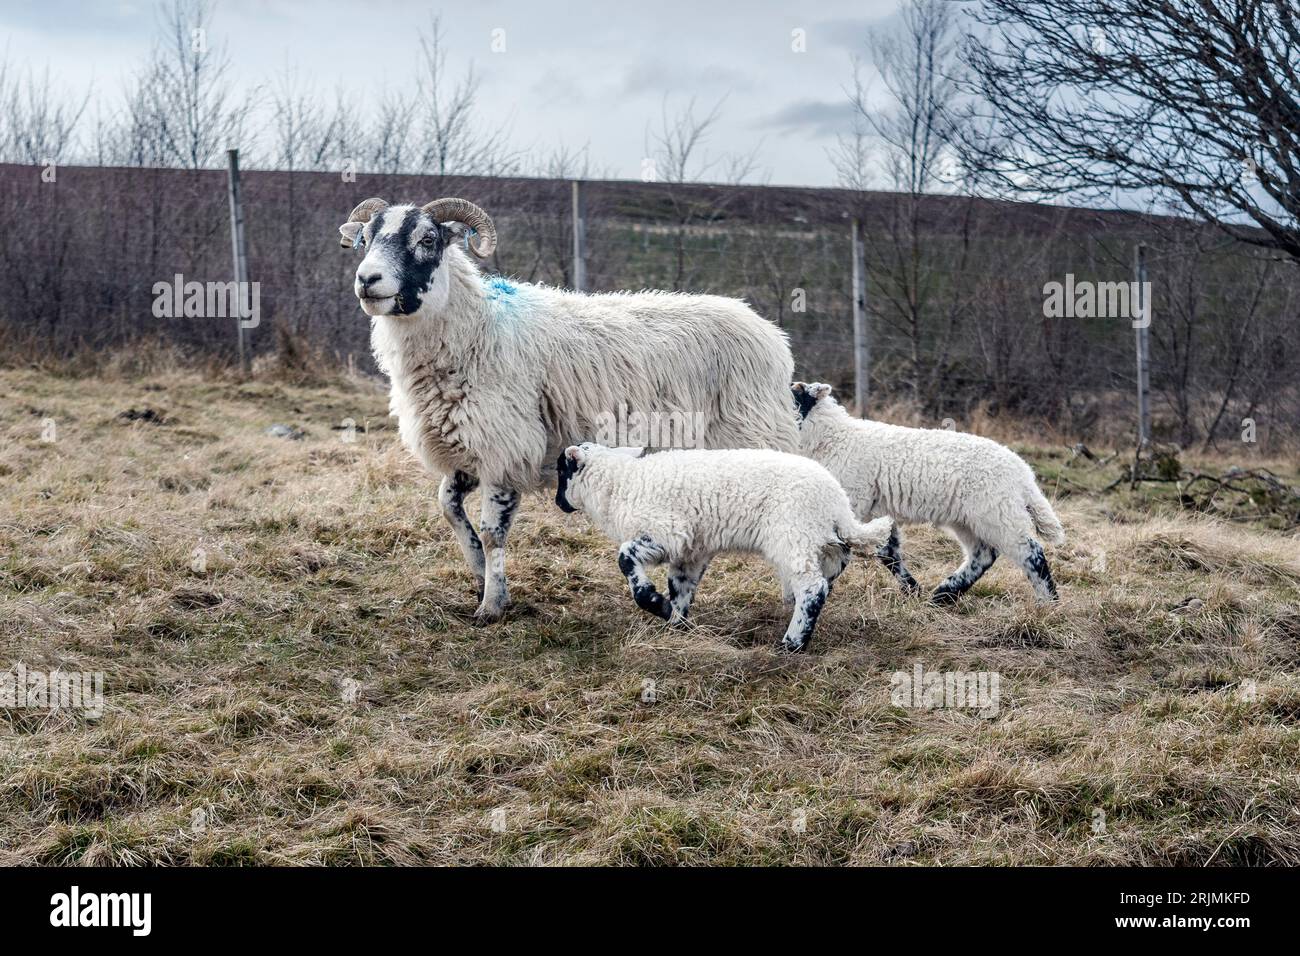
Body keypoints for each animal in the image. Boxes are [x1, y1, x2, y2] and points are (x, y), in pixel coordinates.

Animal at [337, 197, 799, 621]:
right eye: (366, 239)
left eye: (428, 239)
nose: (367, 279)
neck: (475, 327)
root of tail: (770, 333)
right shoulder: (467, 448)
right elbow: (448, 508)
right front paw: (479, 572)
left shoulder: (506, 449)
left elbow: (492, 533)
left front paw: (492, 605)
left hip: (755, 439)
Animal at [553, 442, 896, 651]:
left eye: (560, 470)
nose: (558, 503)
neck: (618, 484)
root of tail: (836, 500)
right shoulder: (691, 551)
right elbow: (681, 588)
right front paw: (676, 625)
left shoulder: (668, 532)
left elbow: (626, 558)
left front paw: (653, 602)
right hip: (821, 542)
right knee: (834, 568)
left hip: (792, 535)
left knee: (813, 589)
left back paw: (791, 644)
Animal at [791, 382, 1065, 605]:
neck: (833, 438)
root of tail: (1023, 473)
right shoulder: (874, 510)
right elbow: (888, 551)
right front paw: (912, 590)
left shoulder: (854, 504)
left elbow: (849, 549)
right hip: (969, 518)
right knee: (983, 554)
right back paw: (943, 595)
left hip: (997, 512)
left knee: (1030, 552)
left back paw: (1048, 602)